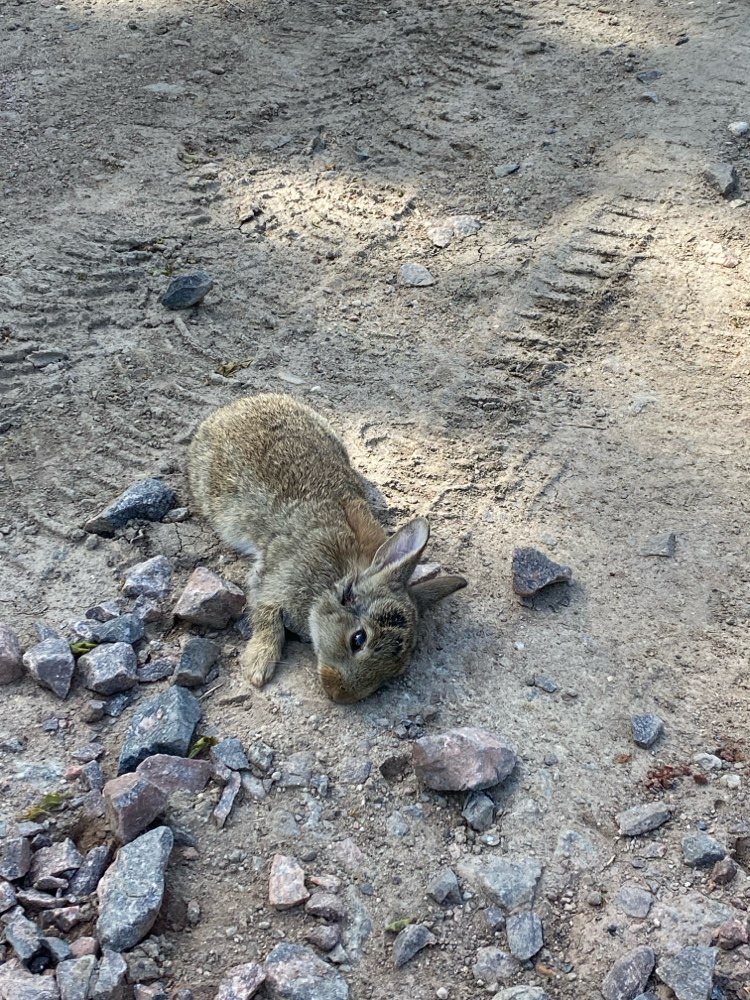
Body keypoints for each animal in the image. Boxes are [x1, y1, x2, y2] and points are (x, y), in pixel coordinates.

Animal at [188, 393, 467, 703]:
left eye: (396, 670)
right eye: (358, 639)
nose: (340, 696)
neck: (335, 579)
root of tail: (235, 407)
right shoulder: (276, 581)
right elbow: (266, 618)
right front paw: (257, 667)